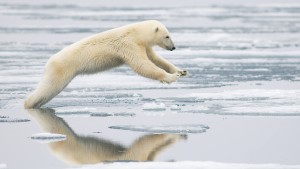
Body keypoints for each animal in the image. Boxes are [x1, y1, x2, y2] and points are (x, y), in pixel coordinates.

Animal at [24, 20, 186, 109]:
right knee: (48, 88)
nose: (173, 48)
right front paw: (172, 77)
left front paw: (180, 71)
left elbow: (155, 58)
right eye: (167, 36)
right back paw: (28, 104)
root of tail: (50, 61)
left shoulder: (143, 45)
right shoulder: (128, 45)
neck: (135, 33)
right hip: (61, 69)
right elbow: (142, 65)